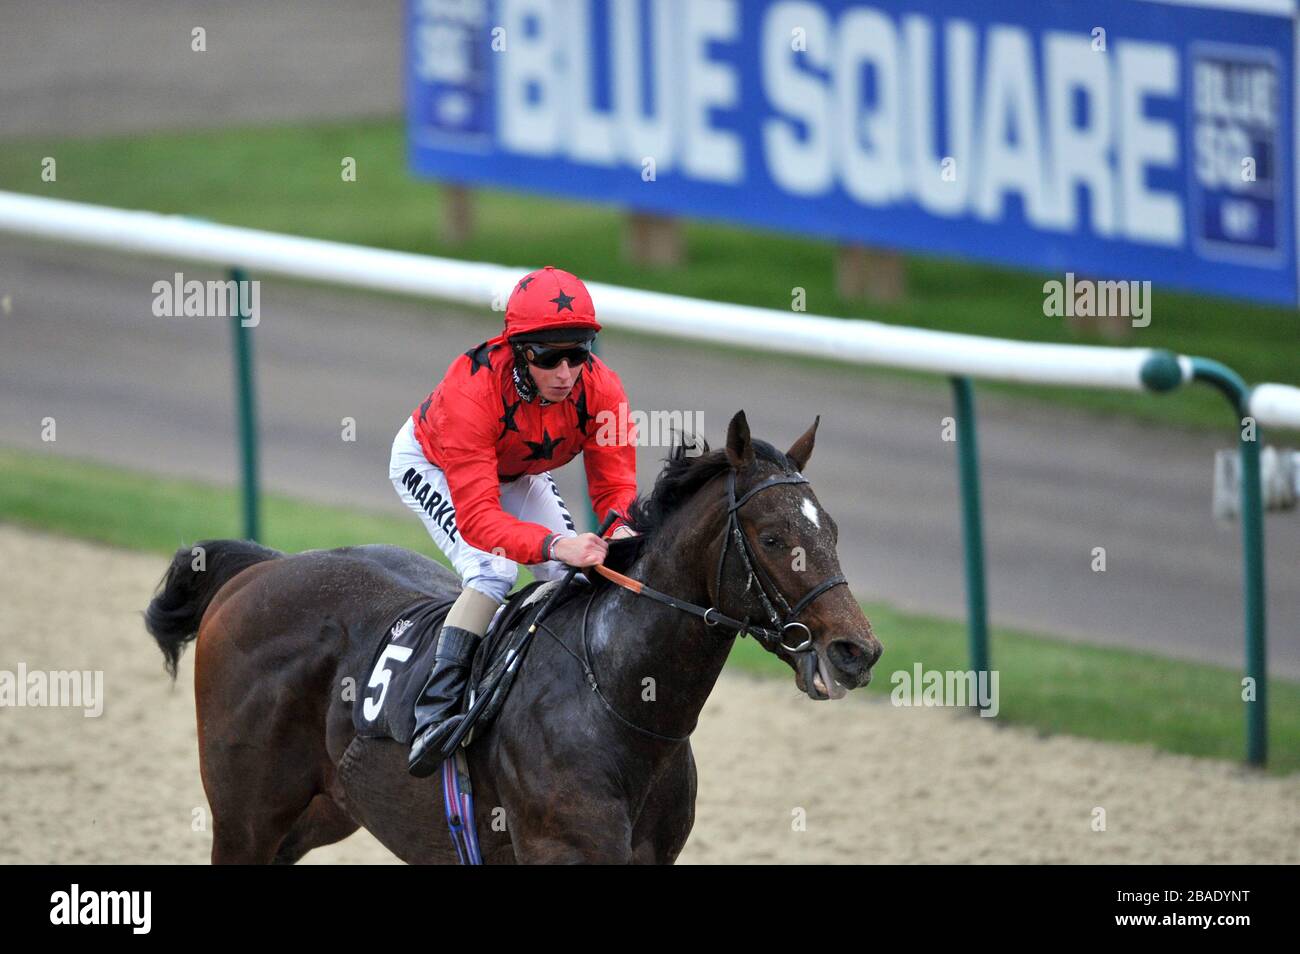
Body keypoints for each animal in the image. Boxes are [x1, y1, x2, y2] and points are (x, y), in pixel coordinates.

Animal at [144, 410, 883, 868]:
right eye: (774, 537)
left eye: (832, 529)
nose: (858, 651)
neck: (618, 700)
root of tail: (261, 568)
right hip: (245, 816)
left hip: (324, 808)